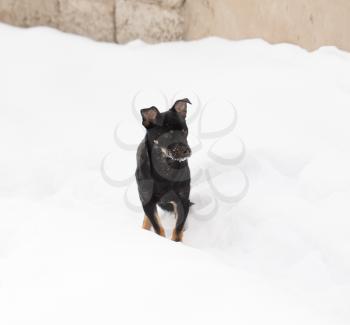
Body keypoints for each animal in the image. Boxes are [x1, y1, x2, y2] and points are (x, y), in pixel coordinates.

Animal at [135, 97, 193, 242]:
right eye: (167, 135)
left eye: (185, 131)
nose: (186, 150)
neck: (166, 167)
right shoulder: (148, 202)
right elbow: (158, 229)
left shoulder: (182, 200)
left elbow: (177, 230)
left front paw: (177, 243)